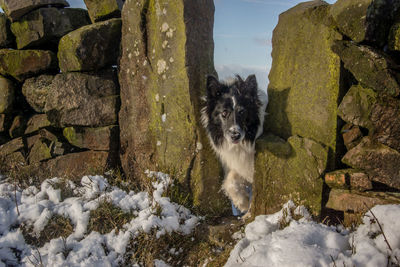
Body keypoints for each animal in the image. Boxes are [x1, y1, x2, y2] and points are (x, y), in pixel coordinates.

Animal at [202, 74, 268, 217]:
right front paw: (242, 202)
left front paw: (248, 211)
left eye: (242, 112)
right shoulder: (239, 164)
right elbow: (230, 181)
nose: (235, 135)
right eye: (224, 113)